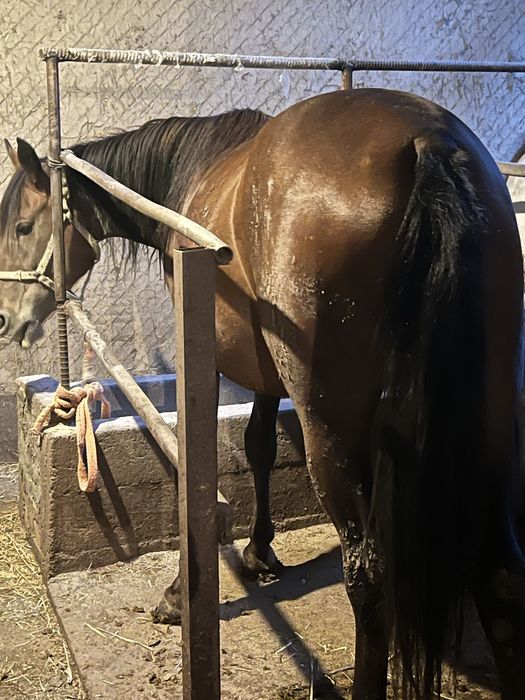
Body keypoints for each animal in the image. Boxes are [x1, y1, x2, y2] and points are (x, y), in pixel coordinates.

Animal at [1, 87, 524, 699]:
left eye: (22, 226)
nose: (7, 320)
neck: (193, 174)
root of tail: (427, 144)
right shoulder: (268, 376)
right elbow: (259, 447)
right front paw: (258, 552)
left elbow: (199, 475)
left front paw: (179, 595)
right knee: (501, 577)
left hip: (331, 431)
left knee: (368, 576)